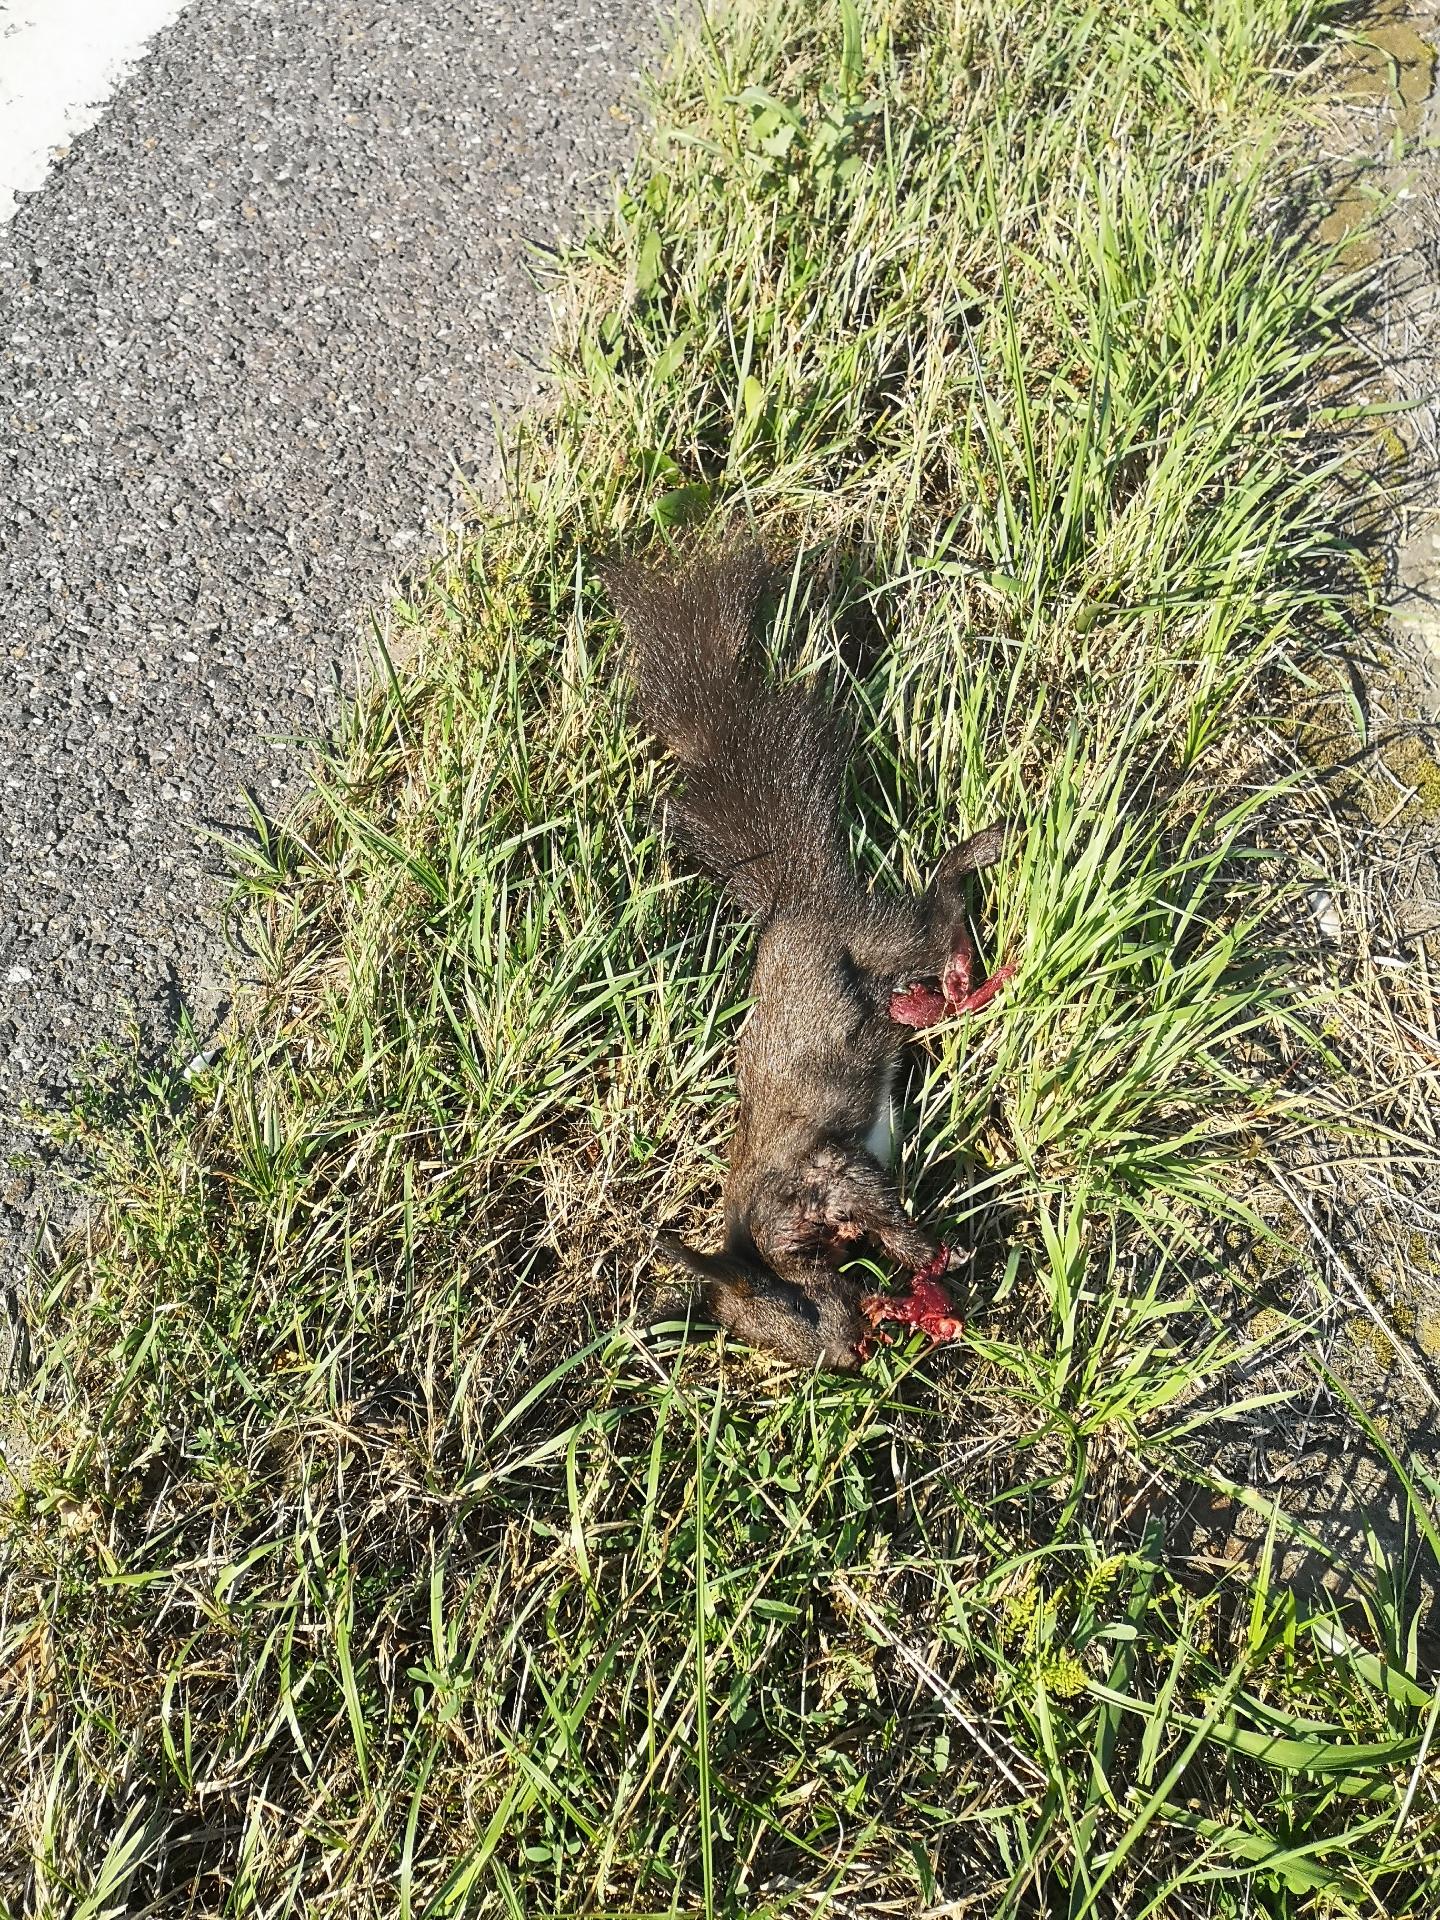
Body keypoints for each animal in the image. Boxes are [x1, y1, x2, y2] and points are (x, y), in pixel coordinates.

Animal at [611, 544, 1013, 1371]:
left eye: (793, 1301)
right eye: (785, 1355)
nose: (852, 1349)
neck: (762, 1242)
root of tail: (799, 902)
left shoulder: (816, 1177)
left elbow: (874, 1200)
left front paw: (925, 1256)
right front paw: (918, 1299)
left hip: (882, 938)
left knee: (940, 903)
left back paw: (981, 858)